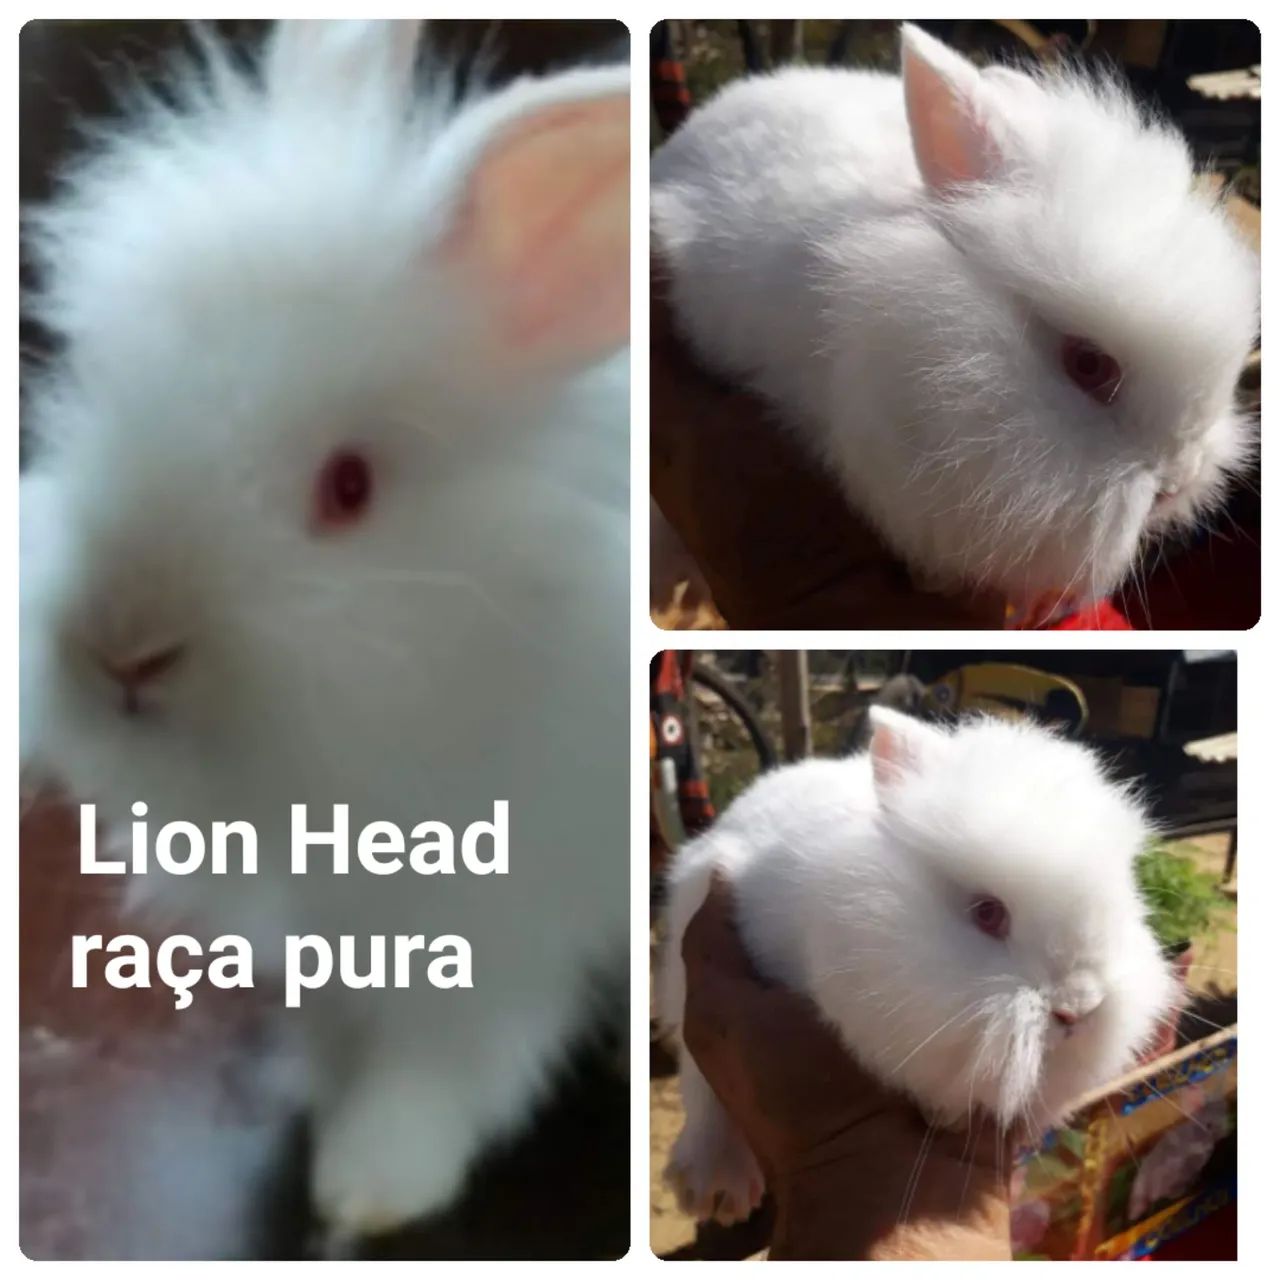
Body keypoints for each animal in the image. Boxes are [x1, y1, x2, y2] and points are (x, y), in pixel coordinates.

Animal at [20, 20, 629, 1241]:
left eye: (348, 487)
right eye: (96, 400)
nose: (123, 650)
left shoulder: (503, 927)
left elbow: (445, 1072)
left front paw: (365, 1191)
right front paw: (312, 1084)